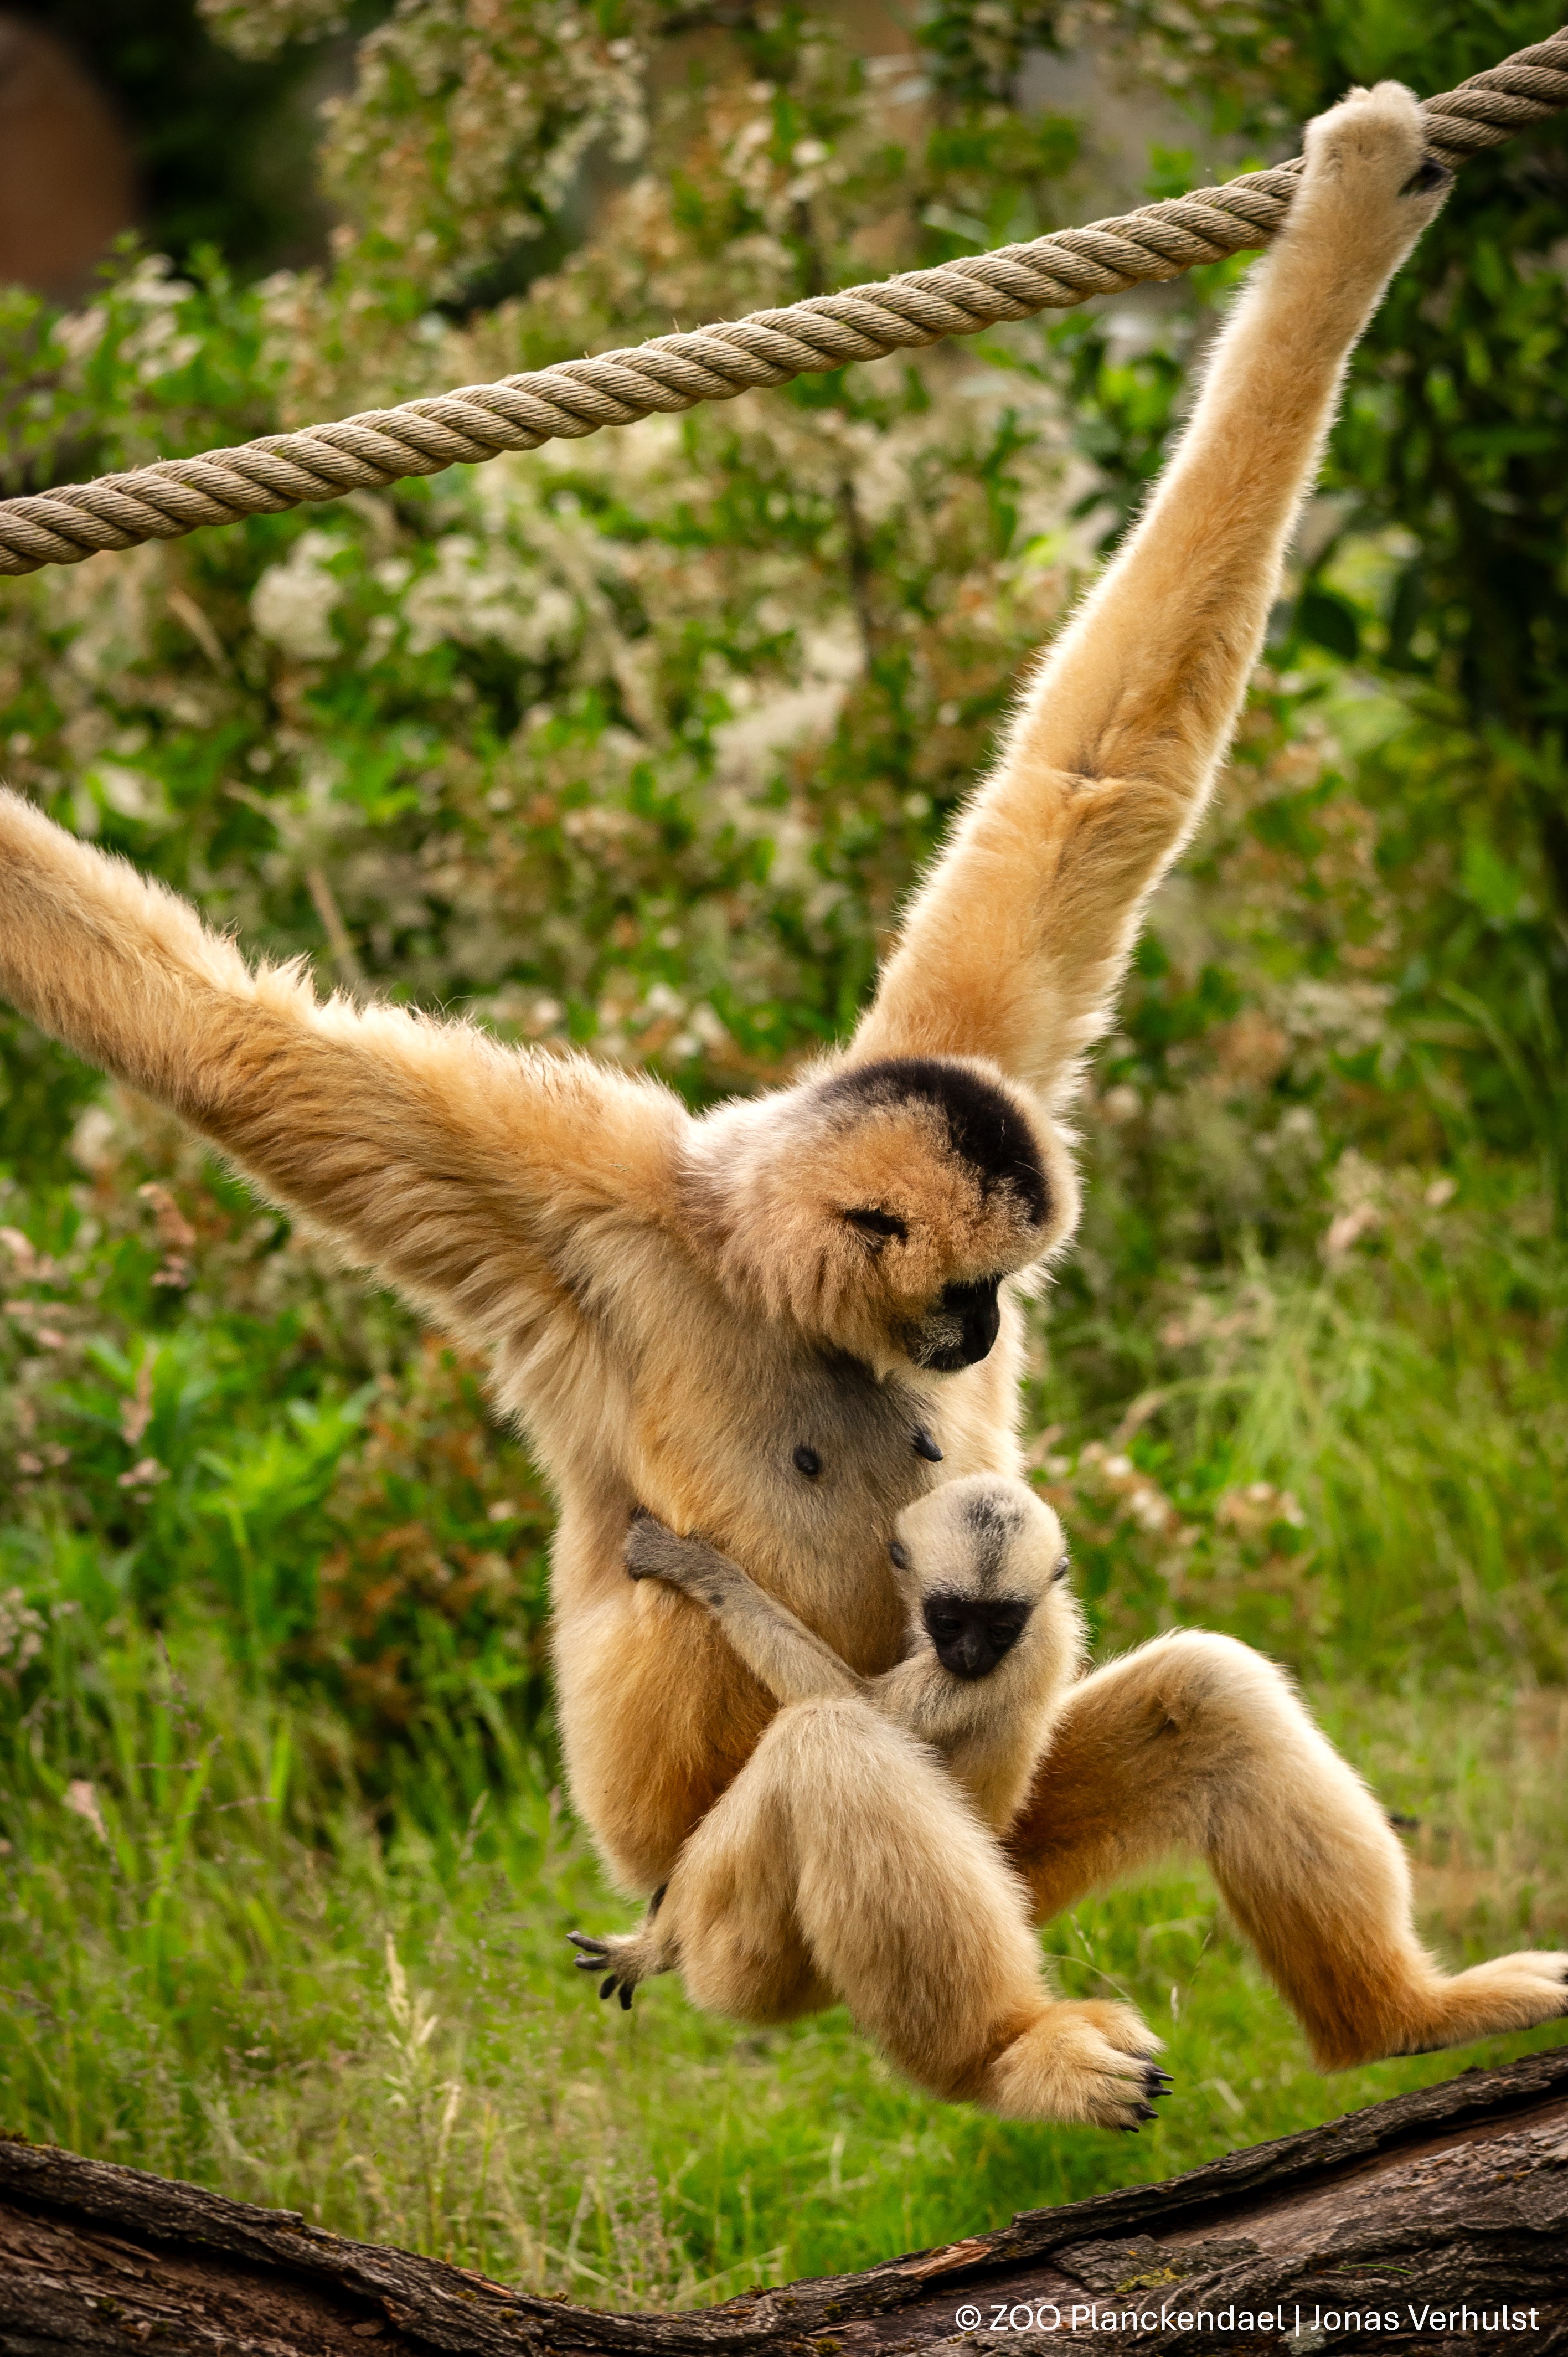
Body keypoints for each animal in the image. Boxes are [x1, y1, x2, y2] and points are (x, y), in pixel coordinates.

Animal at [0, 80, 1563, 2119]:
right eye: (963, 1290)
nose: (979, 1333)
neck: (759, 1276)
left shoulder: (967, 1042)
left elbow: (1095, 781)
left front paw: (1355, 221)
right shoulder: (571, 1209)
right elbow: (232, 1043)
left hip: (1022, 1840)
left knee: (1199, 1694)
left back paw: (1401, 2014)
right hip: (749, 1927)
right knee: (832, 1769)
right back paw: (1012, 2055)